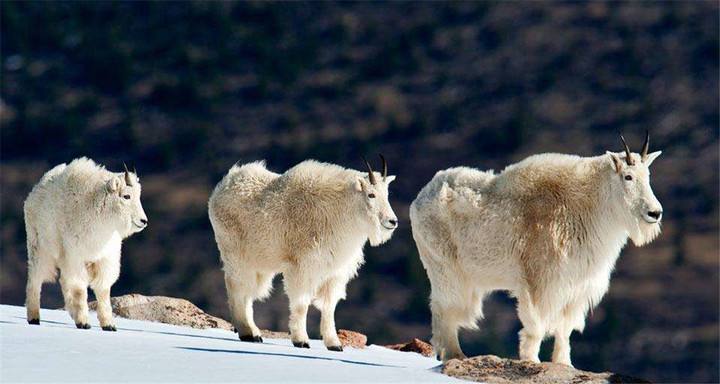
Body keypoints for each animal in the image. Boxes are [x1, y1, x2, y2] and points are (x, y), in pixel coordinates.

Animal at [24, 157, 148, 330]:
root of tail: (34, 192)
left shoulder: (105, 258)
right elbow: (79, 288)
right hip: (39, 247)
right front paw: (84, 322)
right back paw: (34, 317)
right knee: (35, 279)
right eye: (126, 196)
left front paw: (109, 325)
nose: (143, 221)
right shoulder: (76, 256)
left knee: (63, 281)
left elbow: (103, 290)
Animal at [208, 157, 400, 352]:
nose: (392, 221)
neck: (340, 212)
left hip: (259, 261)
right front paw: (301, 340)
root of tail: (223, 186)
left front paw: (334, 344)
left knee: (248, 292)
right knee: (237, 287)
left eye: (387, 194)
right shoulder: (302, 266)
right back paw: (248, 333)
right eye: (371, 195)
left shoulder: (335, 271)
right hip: (235, 253)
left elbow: (329, 306)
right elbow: (301, 303)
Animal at [410, 134, 664, 366]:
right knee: (444, 307)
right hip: (445, 266)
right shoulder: (541, 280)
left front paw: (564, 363)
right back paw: (454, 354)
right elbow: (536, 322)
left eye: (648, 176)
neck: (588, 205)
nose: (655, 213)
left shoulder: (577, 284)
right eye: (628, 176)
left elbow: (565, 328)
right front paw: (531, 359)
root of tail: (420, 198)